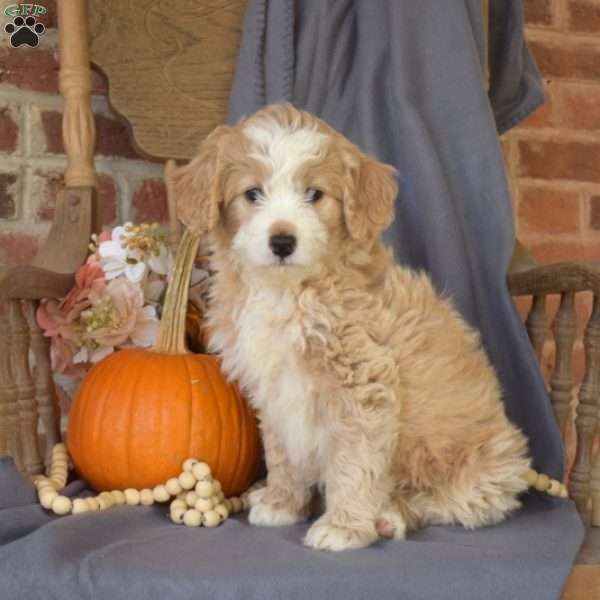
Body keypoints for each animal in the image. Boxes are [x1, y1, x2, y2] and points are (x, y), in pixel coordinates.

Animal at [173, 104, 528, 552]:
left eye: (314, 194)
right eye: (252, 194)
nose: (283, 242)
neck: (289, 291)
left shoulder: (362, 385)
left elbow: (354, 461)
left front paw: (344, 527)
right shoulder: (273, 390)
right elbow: (282, 453)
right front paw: (282, 503)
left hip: (478, 471)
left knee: (446, 503)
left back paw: (390, 516)